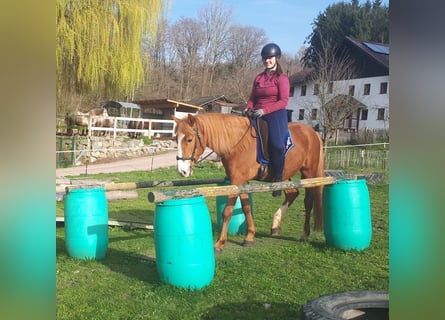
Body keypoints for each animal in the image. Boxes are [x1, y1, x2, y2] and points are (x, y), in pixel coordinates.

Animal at [173, 112, 322, 252]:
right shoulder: (242, 182)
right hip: (286, 176)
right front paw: (249, 237)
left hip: (308, 174)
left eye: (189, 139)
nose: (182, 171)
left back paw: (305, 234)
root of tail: (312, 132)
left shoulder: (236, 181)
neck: (236, 144)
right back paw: (275, 225)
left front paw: (220, 244)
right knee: (293, 193)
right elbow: (246, 208)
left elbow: (227, 211)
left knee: (308, 202)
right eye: (175, 139)